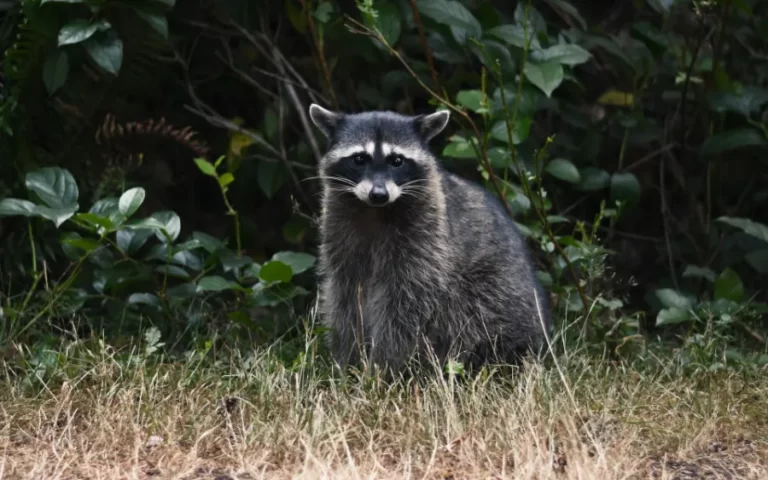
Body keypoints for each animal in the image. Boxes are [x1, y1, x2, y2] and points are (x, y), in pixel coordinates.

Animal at [306, 104, 552, 376]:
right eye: (359, 159)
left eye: (397, 161)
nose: (378, 194)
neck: (375, 210)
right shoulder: (340, 236)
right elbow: (346, 297)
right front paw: (348, 361)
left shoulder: (426, 244)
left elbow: (405, 305)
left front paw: (383, 367)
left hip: (498, 291)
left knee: (476, 312)